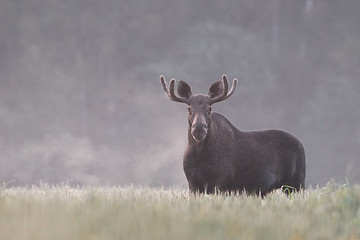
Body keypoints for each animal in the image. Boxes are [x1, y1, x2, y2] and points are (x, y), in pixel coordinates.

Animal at [162, 74, 306, 195]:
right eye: (188, 108)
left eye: (210, 108)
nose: (199, 129)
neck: (200, 156)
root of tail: (301, 144)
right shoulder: (192, 185)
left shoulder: (221, 182)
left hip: (296, 183)